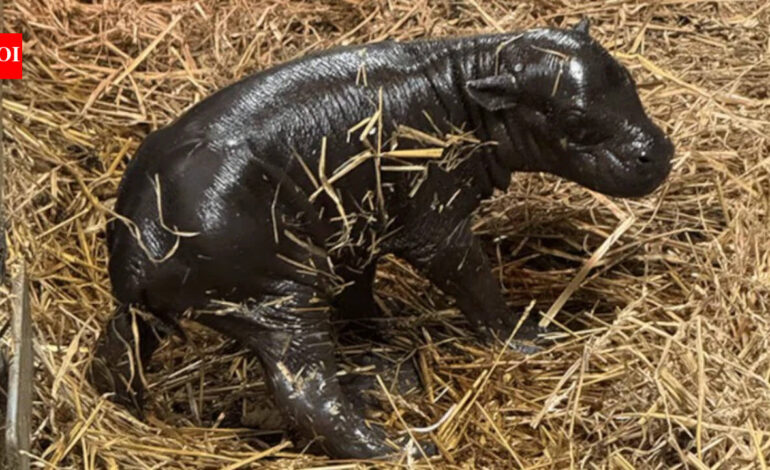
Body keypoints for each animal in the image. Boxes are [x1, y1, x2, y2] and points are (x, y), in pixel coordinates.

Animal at [90, 19, 673, 459]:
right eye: (572, 115)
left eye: (626, 76)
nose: (659, 152)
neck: (466, 83)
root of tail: (138, 248)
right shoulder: (434, 225)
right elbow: (475, 282)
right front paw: (529, 338)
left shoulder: (357, 230)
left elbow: (359, 294)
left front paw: (387, 339)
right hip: (280, 301)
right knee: (308, 396)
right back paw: (404, 448)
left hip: (164, 309)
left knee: (118, 349)